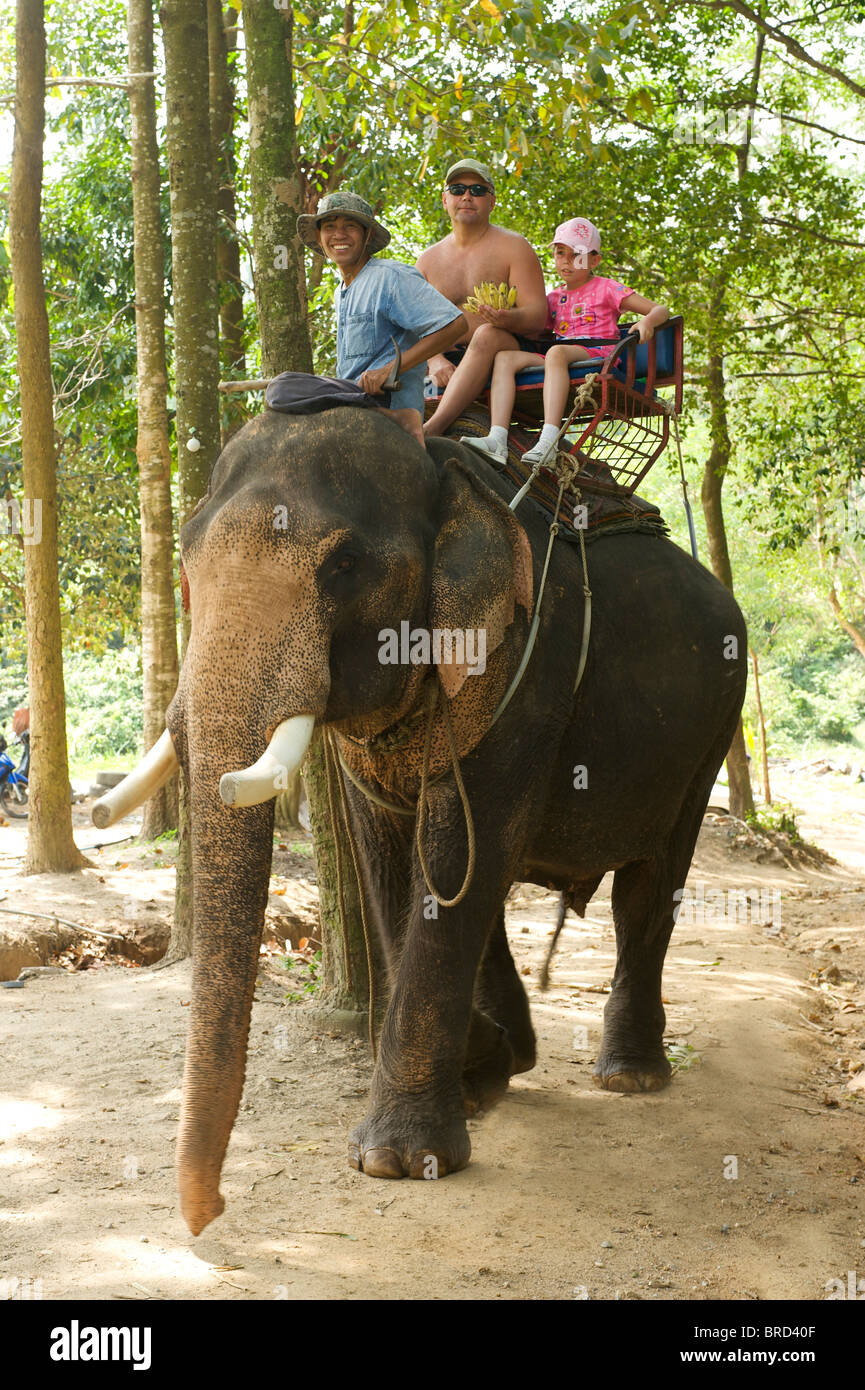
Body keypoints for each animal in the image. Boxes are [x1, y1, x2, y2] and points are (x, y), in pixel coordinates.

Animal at [93, 405, 745, 1234]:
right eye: (185, 558)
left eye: (343, 565)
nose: (207, 1219)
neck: (440, 467)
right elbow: (394, 858)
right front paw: (484, 1071)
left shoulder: (532, 663)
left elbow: (462, 848)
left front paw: (397, 1160)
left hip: (711, 727)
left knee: (646, 887)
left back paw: (629, 1078)